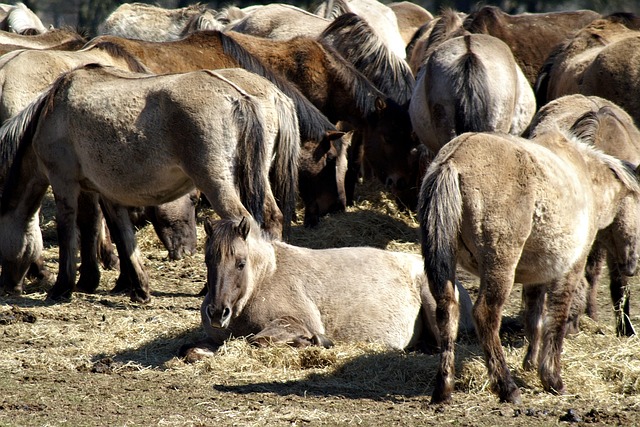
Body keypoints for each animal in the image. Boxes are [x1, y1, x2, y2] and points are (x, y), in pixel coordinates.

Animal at [0, 65, 300, 302]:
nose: (8, 287)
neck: (53, 109)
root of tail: (237, 96)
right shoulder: (105, 193)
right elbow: (120, 235)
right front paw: (137, 288)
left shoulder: (65, 184)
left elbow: (70, 232)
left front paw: (63, 287)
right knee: (271, 220)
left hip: (216, 183)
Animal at [178, 217, 472, 362]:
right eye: (208, 261)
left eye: (240, 263)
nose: (217, 313)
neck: (263, 279)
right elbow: (190, 350)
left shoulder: (294, 322)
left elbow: (257, 340)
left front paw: (315, 342)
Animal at [418, 118, 640, 402]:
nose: (631, 265)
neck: (586, 177)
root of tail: (453, 160)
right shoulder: (570, 269)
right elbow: (556, 319)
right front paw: (552, 378)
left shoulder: (537, 275)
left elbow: (534, 319)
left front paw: (531, 363)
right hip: (500, 265)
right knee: (486, 315)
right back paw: (507, 387)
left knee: (447, 311)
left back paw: (443, 389)